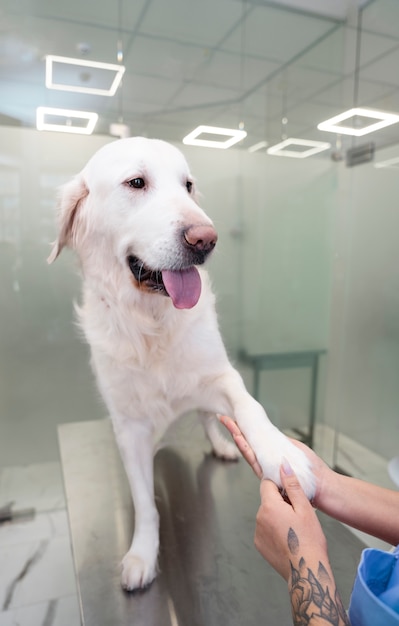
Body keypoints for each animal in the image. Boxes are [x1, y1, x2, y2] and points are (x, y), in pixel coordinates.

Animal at [48, 138, 314, 588]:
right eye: (136, 182)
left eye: (187, 185)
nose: (206, 239)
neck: (152, 324)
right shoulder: (129, 428)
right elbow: (145, 503)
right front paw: (142, 554)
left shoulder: (221, 376)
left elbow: (251, 407)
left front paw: (282, 454)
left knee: (209, 418)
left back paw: (223, 446)